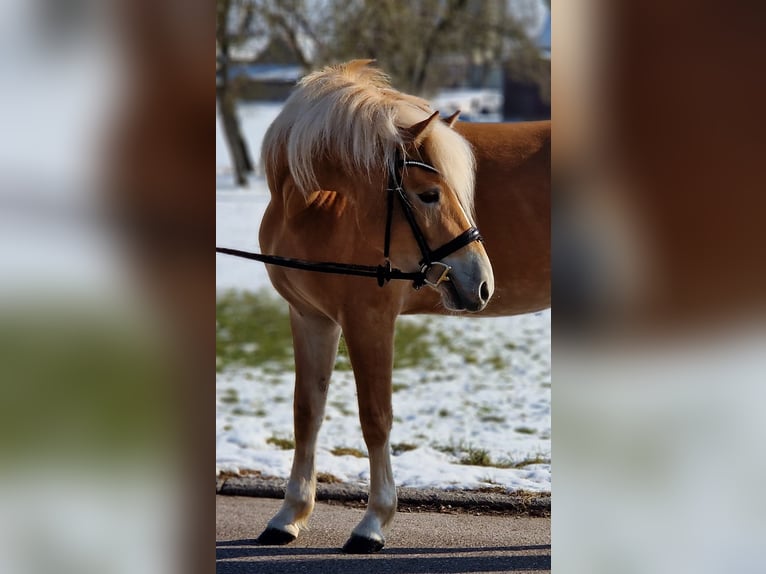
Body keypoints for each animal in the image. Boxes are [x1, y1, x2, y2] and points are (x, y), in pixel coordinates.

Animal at [258, 60, 552, 556]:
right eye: (429, 194)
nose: (482, 282)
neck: (313, 207)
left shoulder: (369, 320)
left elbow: (376, 418)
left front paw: (373, 523)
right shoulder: (311, 318)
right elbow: (306, 413)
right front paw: (288, 516)